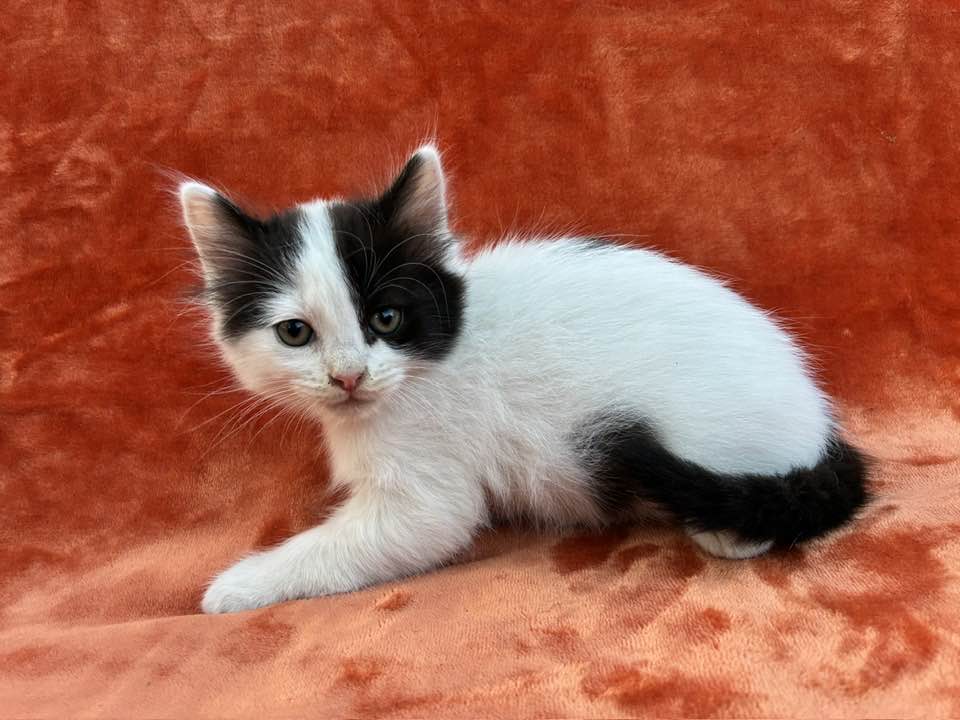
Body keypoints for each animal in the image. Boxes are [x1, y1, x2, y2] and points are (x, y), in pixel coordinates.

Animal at [179, 145, 869, 614]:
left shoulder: (428, 492)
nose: (348, 376)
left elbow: (371, 539)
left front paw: (238, 584)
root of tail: (818, 414)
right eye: (295, 333)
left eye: (386, 318)